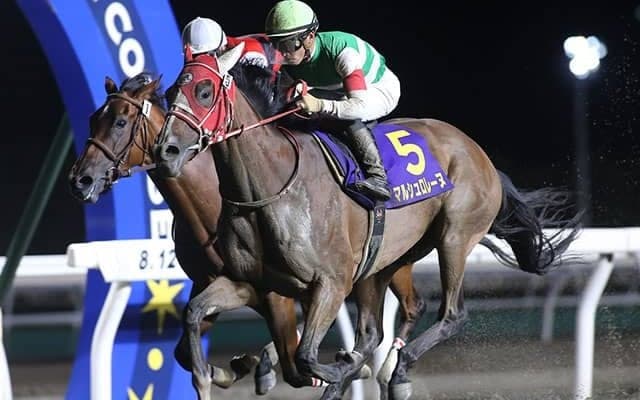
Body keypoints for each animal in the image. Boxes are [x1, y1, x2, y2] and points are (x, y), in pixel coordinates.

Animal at [67, 72, 425, 398]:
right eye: (93, 119)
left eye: (120, 122)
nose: (81, 179)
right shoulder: (215, 281)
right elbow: (185, 349)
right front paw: (238, 367)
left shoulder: (274, 291)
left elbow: (293, 361)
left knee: (408, 308)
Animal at [154, 43, 582, 400]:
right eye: (171, 91)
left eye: (205, 91)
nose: (167, 151)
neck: (271, 186)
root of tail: (478, 152)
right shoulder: (251, 283)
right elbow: (195, 314)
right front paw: (213, 376)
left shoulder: (330, 282)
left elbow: (307, 357)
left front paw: (336, 371)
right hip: (383, 260)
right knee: (375, 330)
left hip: (454, 237)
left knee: (451, 314)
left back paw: (398, 370)